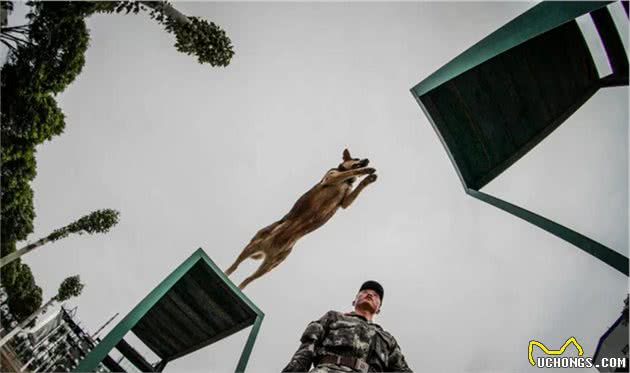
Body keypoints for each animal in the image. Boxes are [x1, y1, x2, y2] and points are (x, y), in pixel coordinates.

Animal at [225, 148, 378, 288]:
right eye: (357, 158)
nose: (368, 159)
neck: (346, 182)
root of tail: (269, 248)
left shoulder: (345, 202)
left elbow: (357, 188)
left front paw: (368, 179)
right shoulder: (332, 178)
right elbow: (350, 172)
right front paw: (366, 170)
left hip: (268, 266)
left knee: (247, 280)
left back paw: (240, 287)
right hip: (252, 246)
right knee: (235, 265)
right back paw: (227, 273)